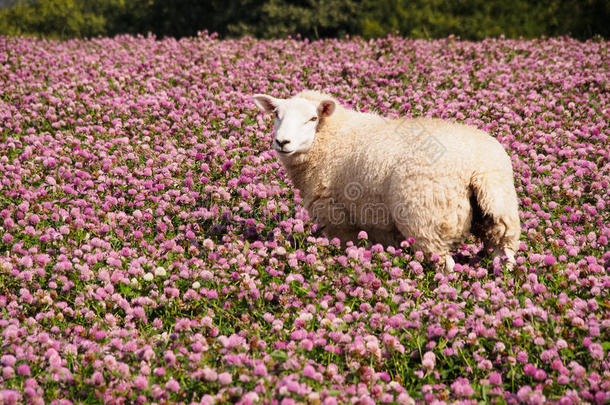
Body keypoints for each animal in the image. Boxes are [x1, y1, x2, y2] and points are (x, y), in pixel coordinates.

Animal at [251, 90, 516, 270]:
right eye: (276, 115)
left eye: (312, 119)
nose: (282, 142)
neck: (332, 137)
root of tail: (478, 168)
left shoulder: (338, 217)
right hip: (501, 217)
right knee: (505, 256)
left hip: (426, 221)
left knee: (446, 265)